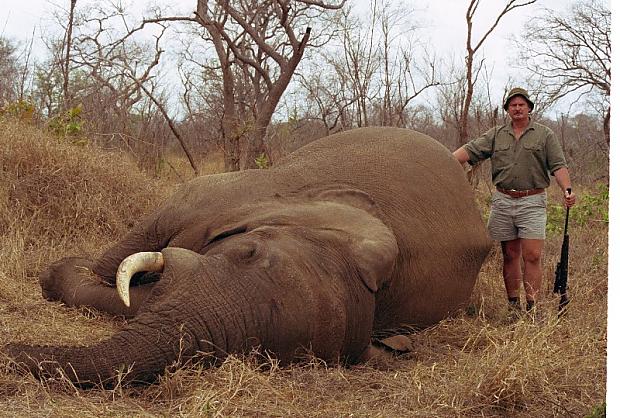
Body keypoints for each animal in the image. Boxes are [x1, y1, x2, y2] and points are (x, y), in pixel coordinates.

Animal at [4, 127, 491, 386]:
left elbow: (137, 299)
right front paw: (61, 271)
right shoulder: (217, 199)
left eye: (262, 354)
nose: (11, 352)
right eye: (247, 251)